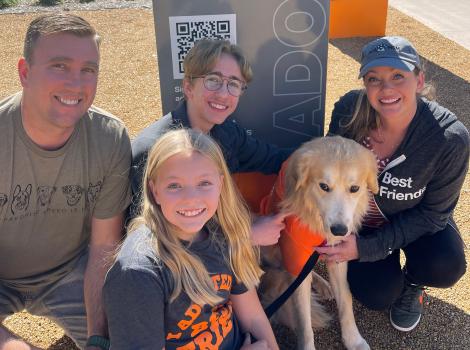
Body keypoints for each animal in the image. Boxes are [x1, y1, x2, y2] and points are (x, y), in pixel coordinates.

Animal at [258, 136, 380, 350]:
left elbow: (346, 300)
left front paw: (353, 340)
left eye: (354, 188)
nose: (339, 231)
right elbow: (303, 322)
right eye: (324, 186)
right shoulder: (296, 257)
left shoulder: (338, 256)